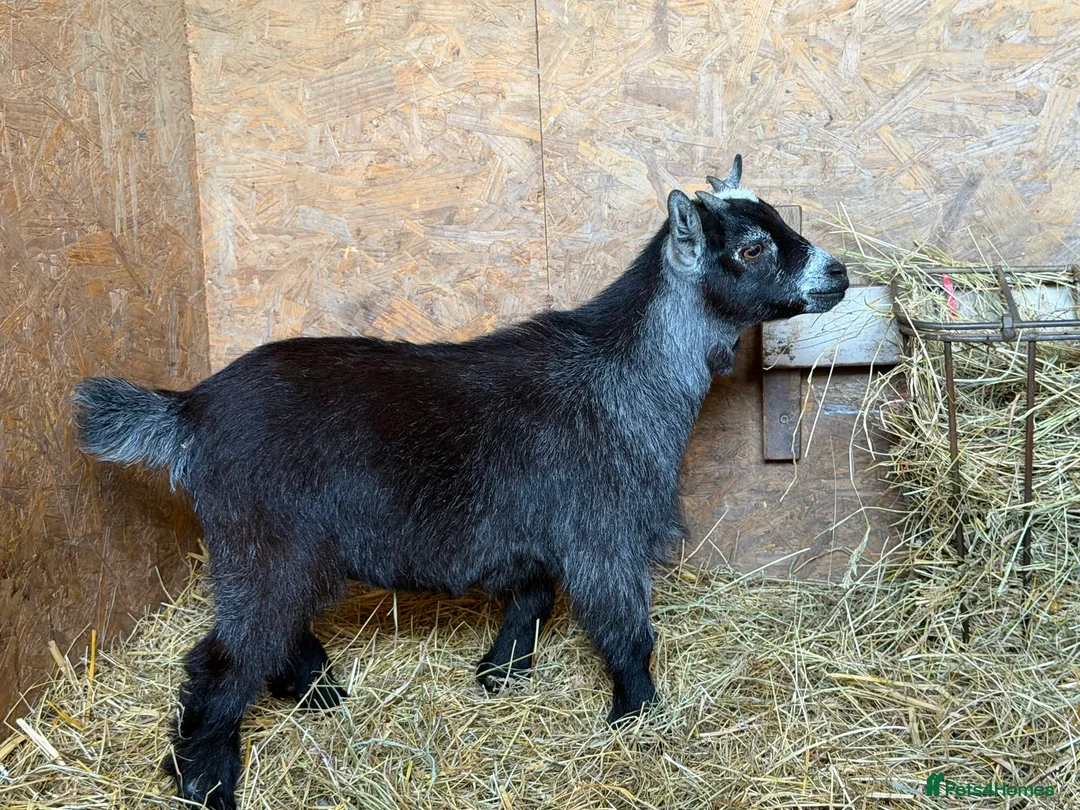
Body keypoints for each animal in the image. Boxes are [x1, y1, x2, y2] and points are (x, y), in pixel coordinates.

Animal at [72, 157, 848, 810]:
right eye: (752, 249)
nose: (836, 274)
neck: (625, 373)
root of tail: (190, 410)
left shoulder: (532, 530)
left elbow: (529, 599)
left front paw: (500, 676)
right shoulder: (603, 532)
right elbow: (627, 630)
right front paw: (635, 715)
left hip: (283, 552)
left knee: (274, 635)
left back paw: (318, 694)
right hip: (265, 544)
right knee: (223, 659)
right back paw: (206, 781)